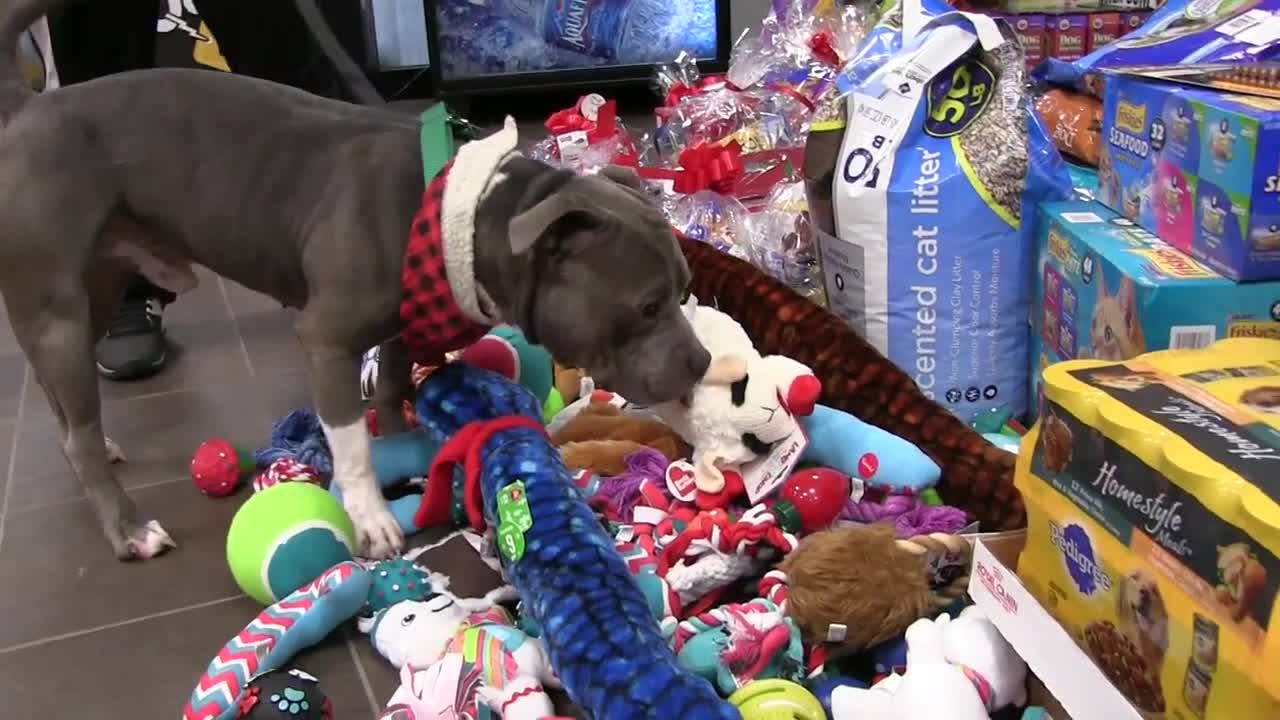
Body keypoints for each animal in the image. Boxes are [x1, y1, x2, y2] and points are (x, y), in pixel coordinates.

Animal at [0, 1, 711, 561]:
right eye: (648, 306)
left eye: (684, 291)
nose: (704, 361)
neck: (464, 215)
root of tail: (28, 105)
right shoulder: (326, 340)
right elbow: (349, 441)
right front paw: (369, 515)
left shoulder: (397, 325)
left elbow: (392, 387)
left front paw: (403, 441)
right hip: (59, 311)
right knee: (75, 431)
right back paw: (128, 528)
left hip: (92, 291)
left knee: (65, 414)